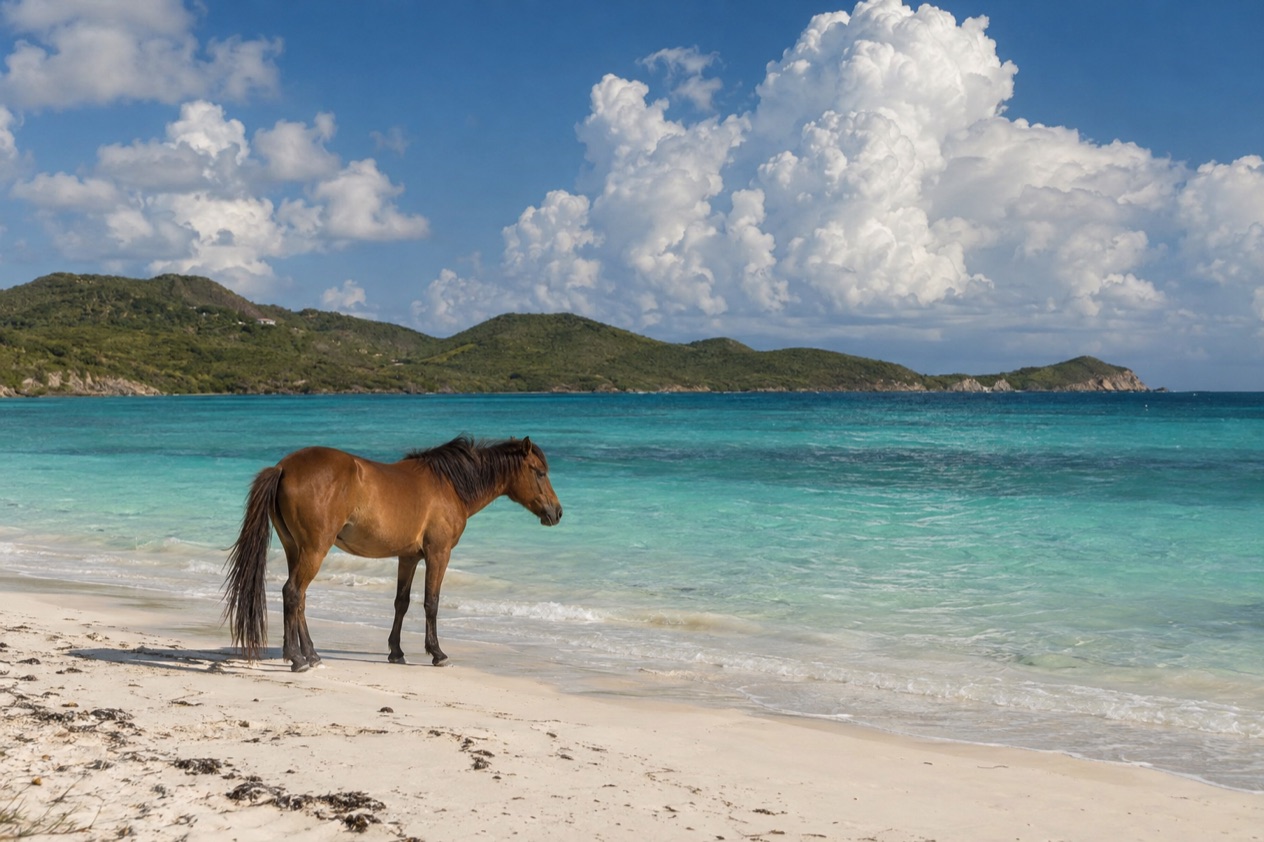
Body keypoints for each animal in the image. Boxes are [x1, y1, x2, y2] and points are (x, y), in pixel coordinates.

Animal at [223, 435, 562, 672]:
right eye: (540, 472)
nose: (557, 513)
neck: (450, 485)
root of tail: (283, 467)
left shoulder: (408, 557)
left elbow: (402, 603)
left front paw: (396, 652)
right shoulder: (438, 554)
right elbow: (431, 603)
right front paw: (437, 654)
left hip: (295, 549)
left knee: (298, 599)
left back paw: (311, 654)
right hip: (314, 550)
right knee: (293, 593)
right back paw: (296, 658)